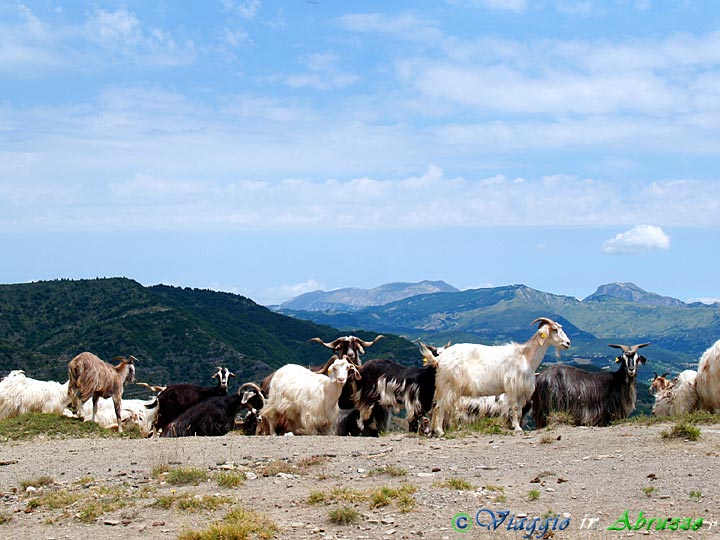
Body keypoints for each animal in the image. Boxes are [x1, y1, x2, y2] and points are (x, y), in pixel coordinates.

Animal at [424, 316, 572, 434]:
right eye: (555, 329)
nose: (568, 343)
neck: (524, 357)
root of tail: (440, 358)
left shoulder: (521, 390)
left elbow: (519, 410)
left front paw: (516, 426)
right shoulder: (512, 387)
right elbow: (514, 408)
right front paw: (517, 428)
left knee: (437, 406)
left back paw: (435, 430)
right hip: (449, 385)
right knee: (440, 406)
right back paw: (440, 431)